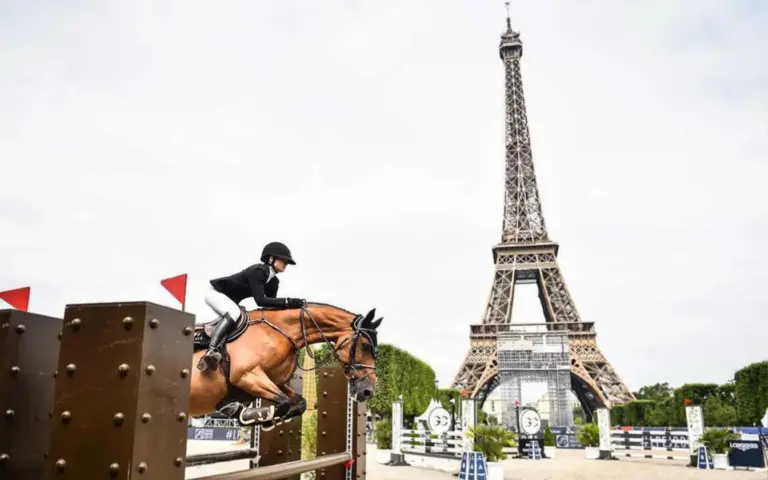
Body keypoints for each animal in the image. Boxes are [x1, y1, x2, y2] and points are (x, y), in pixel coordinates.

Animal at [186, 302, 378, 430]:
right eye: (365, 346)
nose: (367, 391)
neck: (281, 331)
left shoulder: (275, 381)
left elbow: (299, 403)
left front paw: (263, 418)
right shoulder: (247, 376)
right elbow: (284, 402)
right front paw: (252, 415)